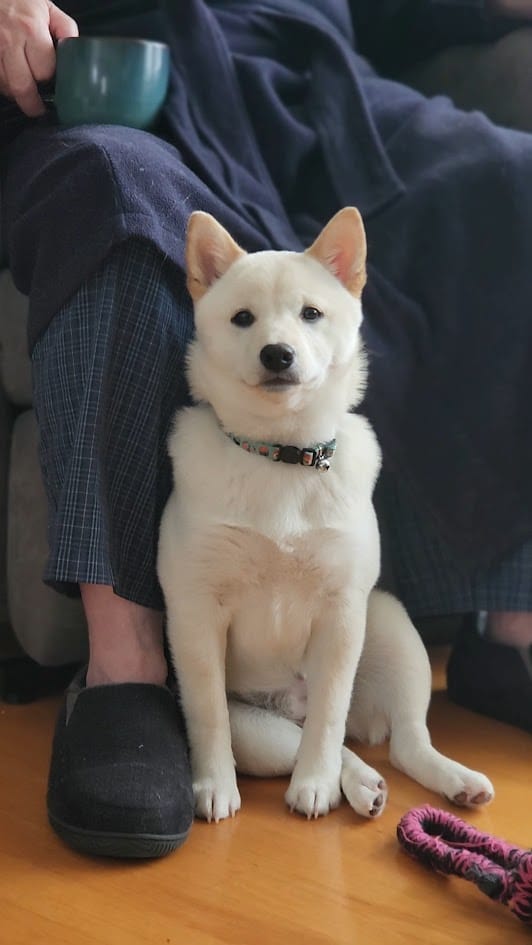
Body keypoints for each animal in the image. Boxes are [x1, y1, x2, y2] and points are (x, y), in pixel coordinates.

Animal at [159, 206, 494, 820]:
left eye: (311, 313)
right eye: (243, 318)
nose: (277, 353)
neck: (282, 456)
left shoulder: (342, 613)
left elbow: (330, 717)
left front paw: (313, 782)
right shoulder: (195, 613)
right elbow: (209, 716)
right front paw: (214, 785)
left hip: (388, 623)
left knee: (399, 740)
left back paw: (448, 779)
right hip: (260, 731)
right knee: (328, 745)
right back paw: (362, 783)